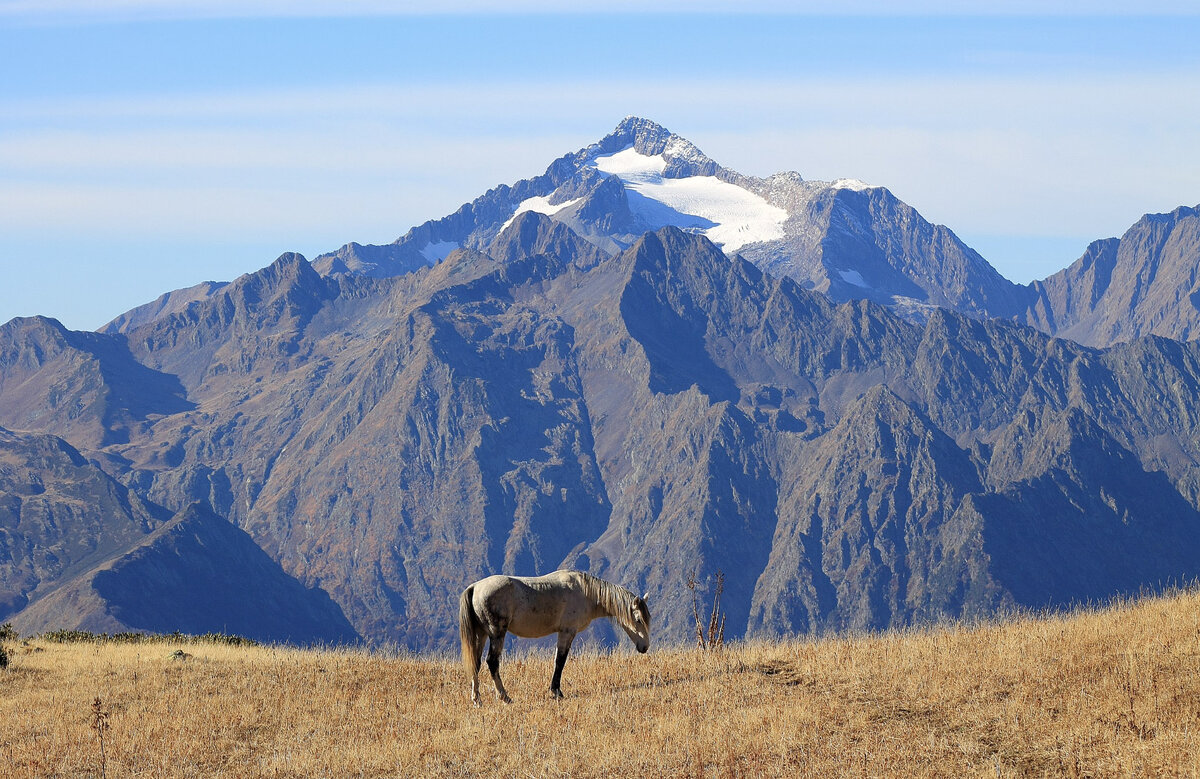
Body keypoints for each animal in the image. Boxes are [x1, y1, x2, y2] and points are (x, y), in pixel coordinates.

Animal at [458, 564, 652, 705]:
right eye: (638, 620)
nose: (644, 647)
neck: (586, 591)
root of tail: (475, 587)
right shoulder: (567, 632)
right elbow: (560, 661)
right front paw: (556, 691)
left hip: (482, 634)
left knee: (476, 663)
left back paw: (477, 699)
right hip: (497, 633)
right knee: (492, 662)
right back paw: (505, 697)